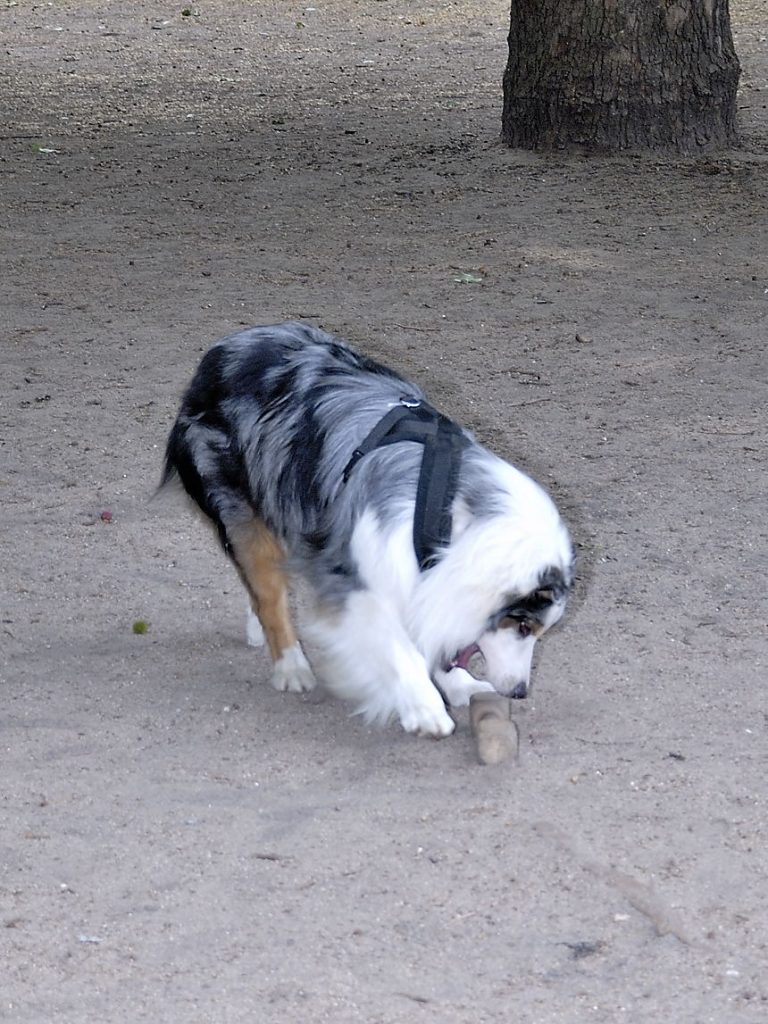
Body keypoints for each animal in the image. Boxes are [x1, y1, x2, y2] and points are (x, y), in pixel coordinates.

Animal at [162, 319, 573, 737]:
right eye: (522, 627)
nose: (520, 692)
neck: (445, 509)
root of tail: (225, 346)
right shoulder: (353, 573)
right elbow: (396, 644)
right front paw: (424, 707)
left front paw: (459, 684)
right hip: (242, 509)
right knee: (268, 592)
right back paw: (291, 666)